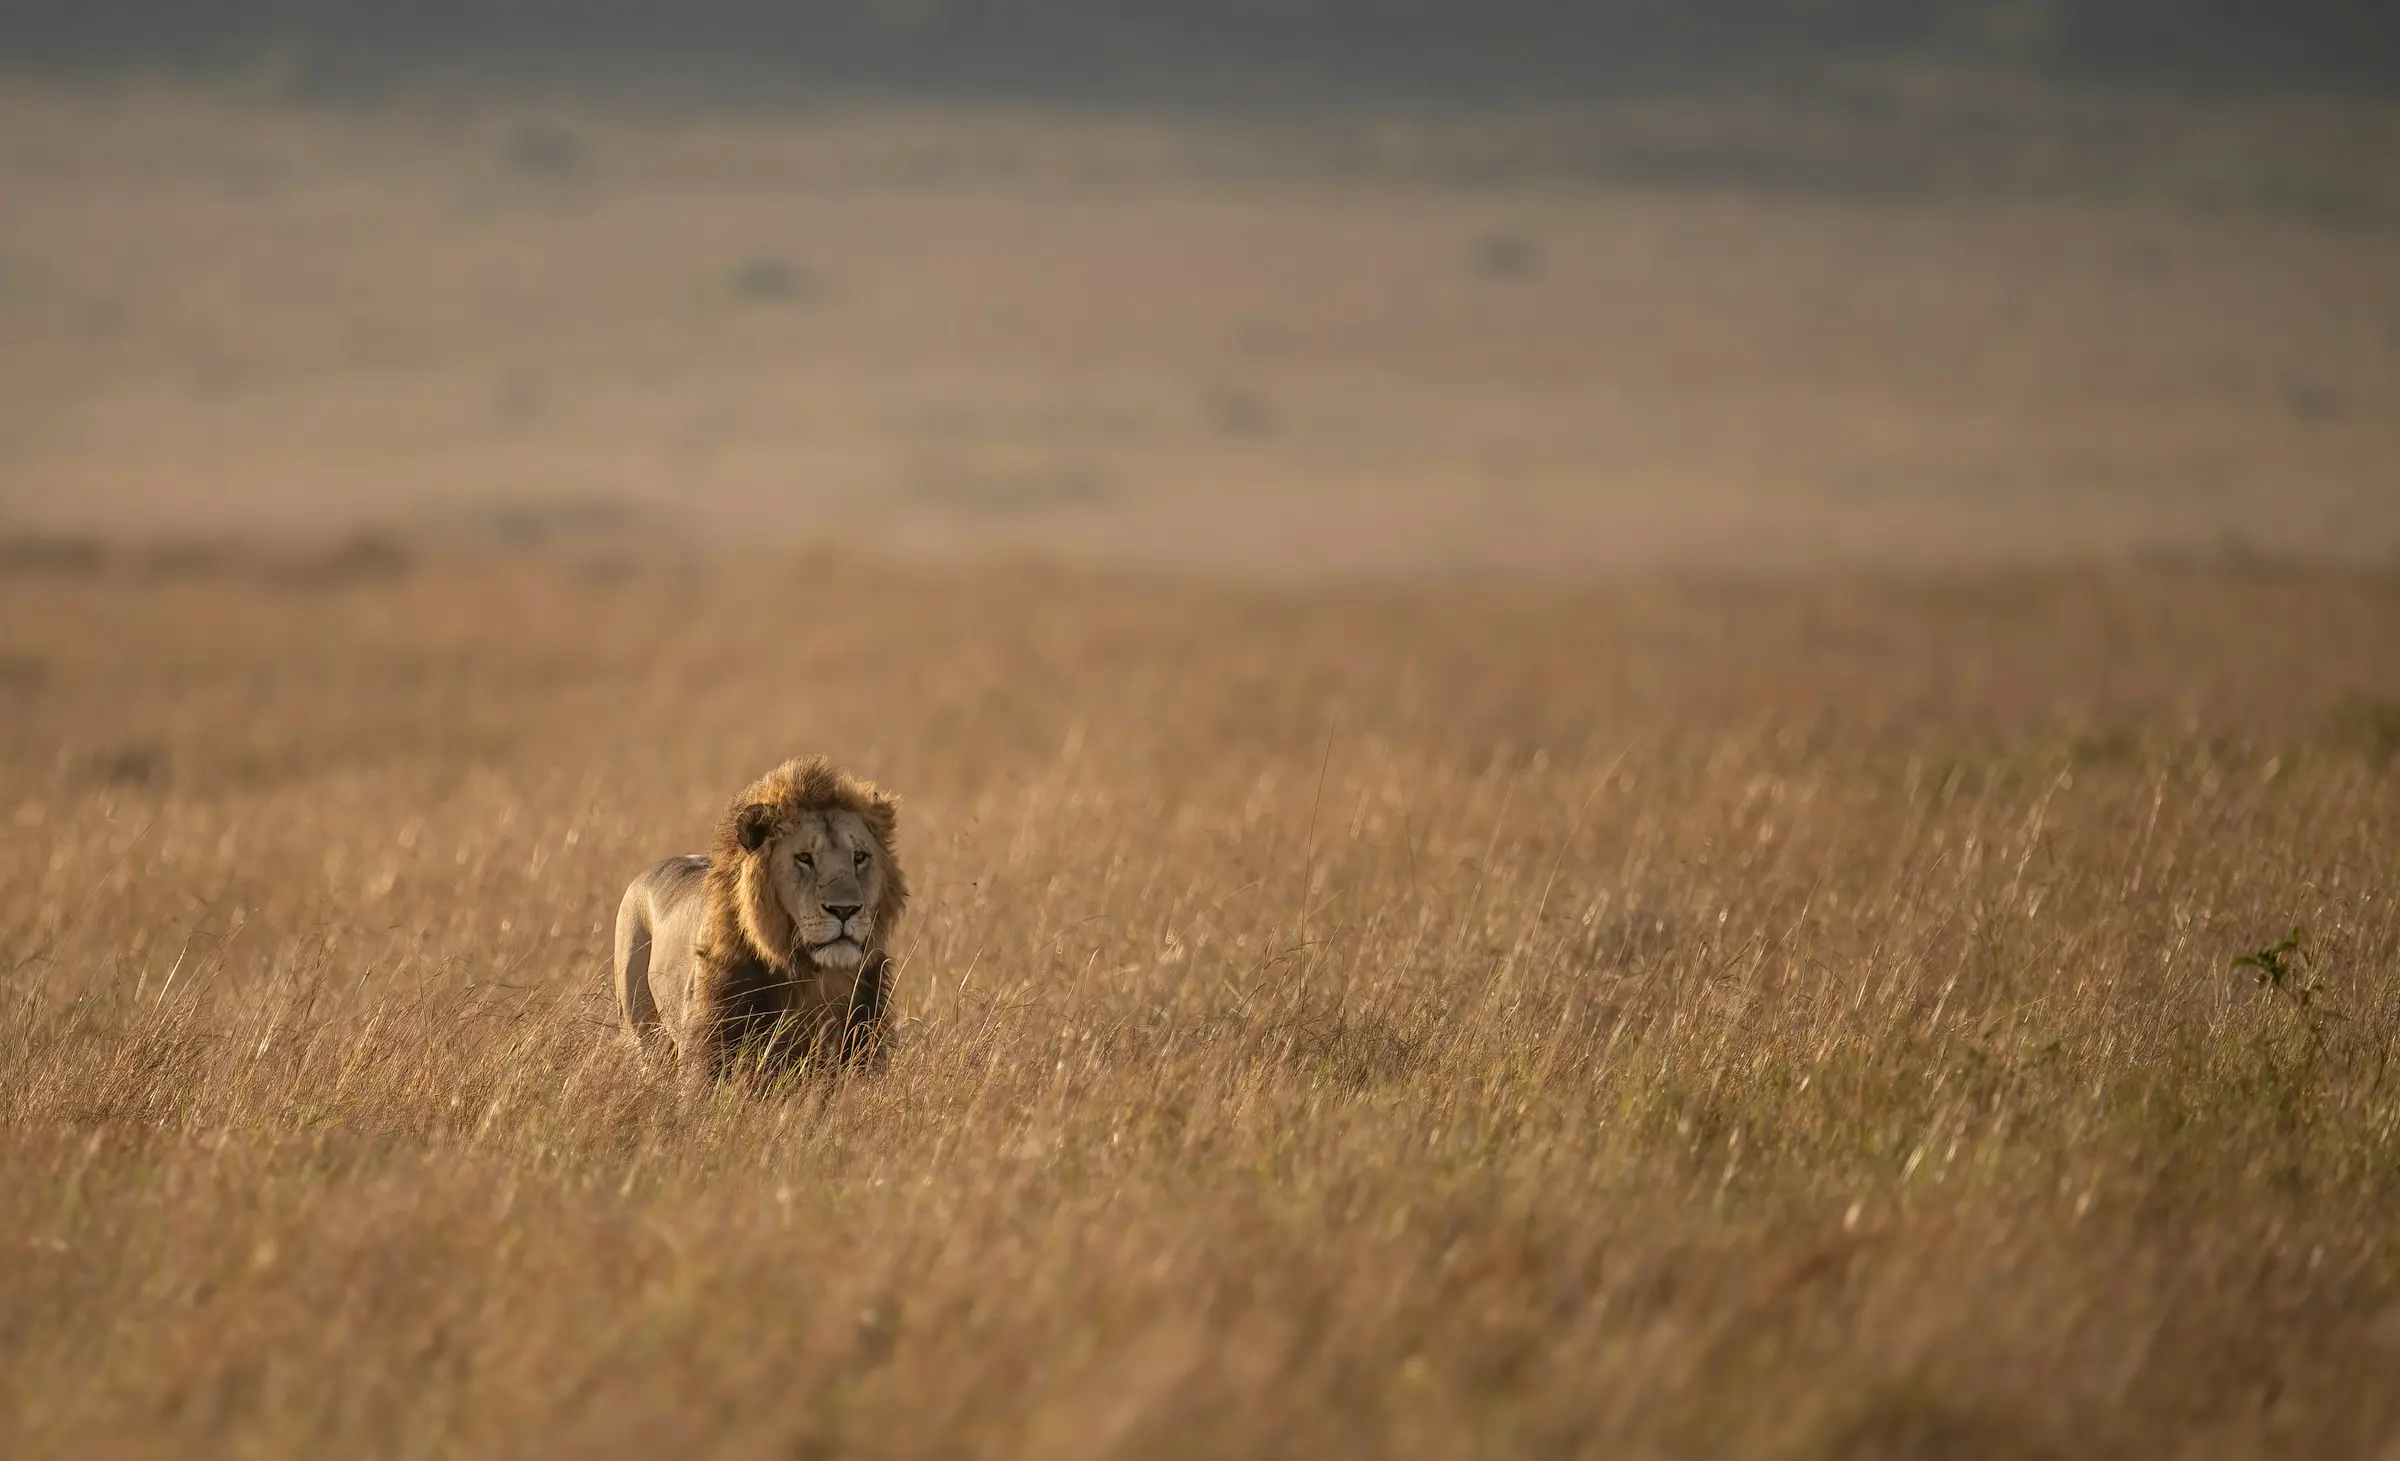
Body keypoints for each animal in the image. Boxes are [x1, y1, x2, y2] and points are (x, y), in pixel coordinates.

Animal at [614, 757, 908, 1086]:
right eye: (804, 858)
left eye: (859, 857)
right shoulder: (707, 1050)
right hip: (642, 1029)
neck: (810, 976)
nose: (845, 910)